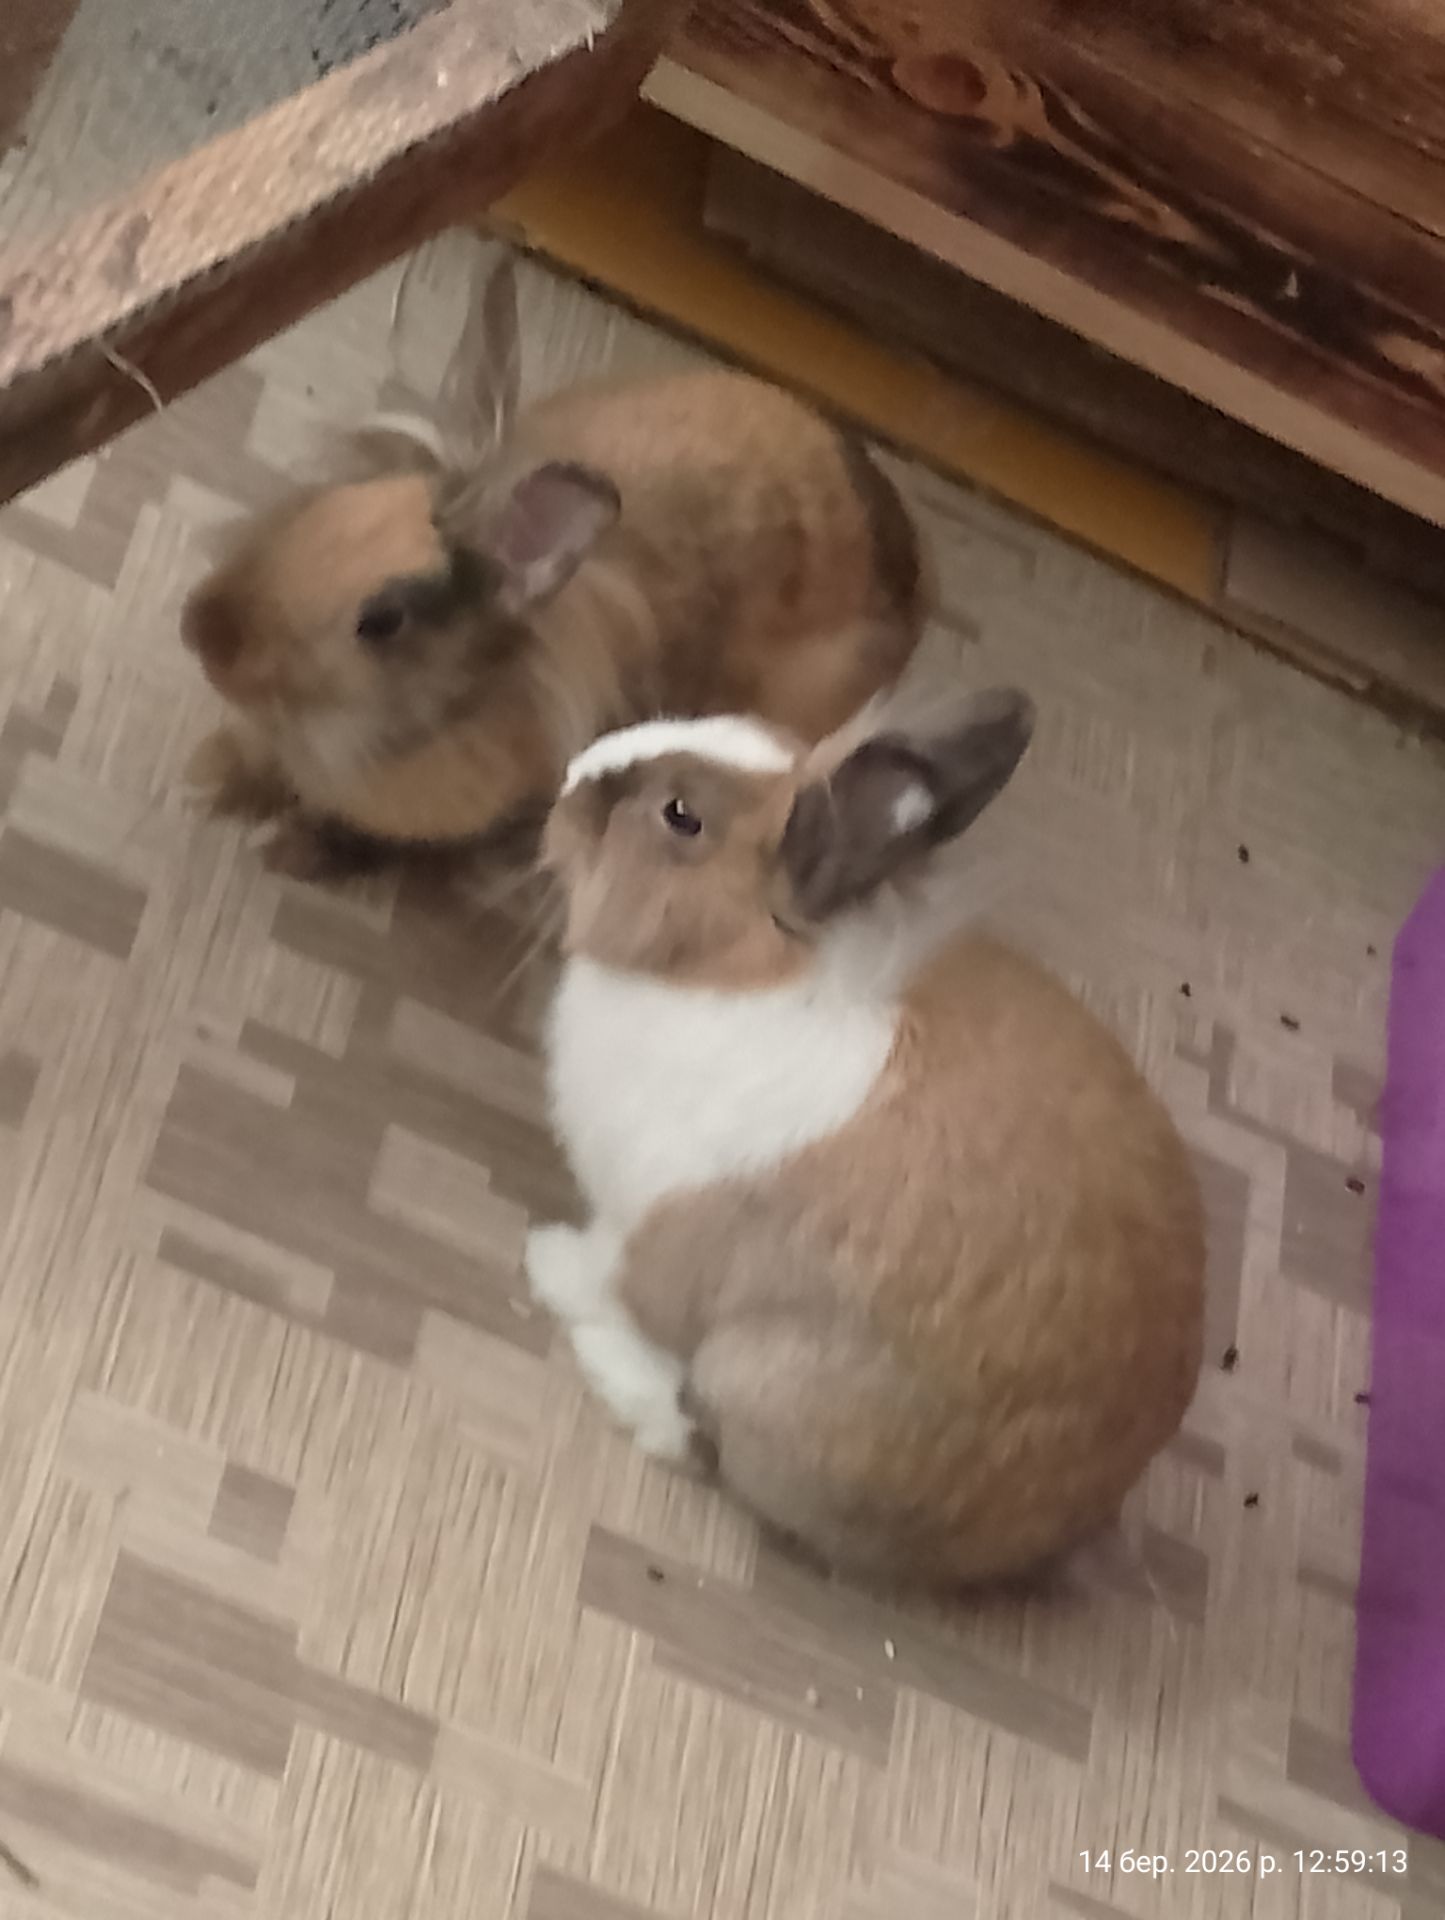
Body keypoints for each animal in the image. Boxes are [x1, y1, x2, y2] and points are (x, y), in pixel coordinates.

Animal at [180, 239, 929, 878]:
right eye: (323, 505)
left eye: (383, 621)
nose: (202, 632)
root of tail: (917, 573)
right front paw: (213, 776)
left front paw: (288, 848)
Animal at [524, 689, 1205, 1590]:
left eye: (681, 817)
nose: (568, 779)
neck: (737, 968)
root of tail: (1058, 1523)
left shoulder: (645, 1231)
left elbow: (607, 1274)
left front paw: (547, 1261)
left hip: (759, 1380)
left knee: (704, 1443)